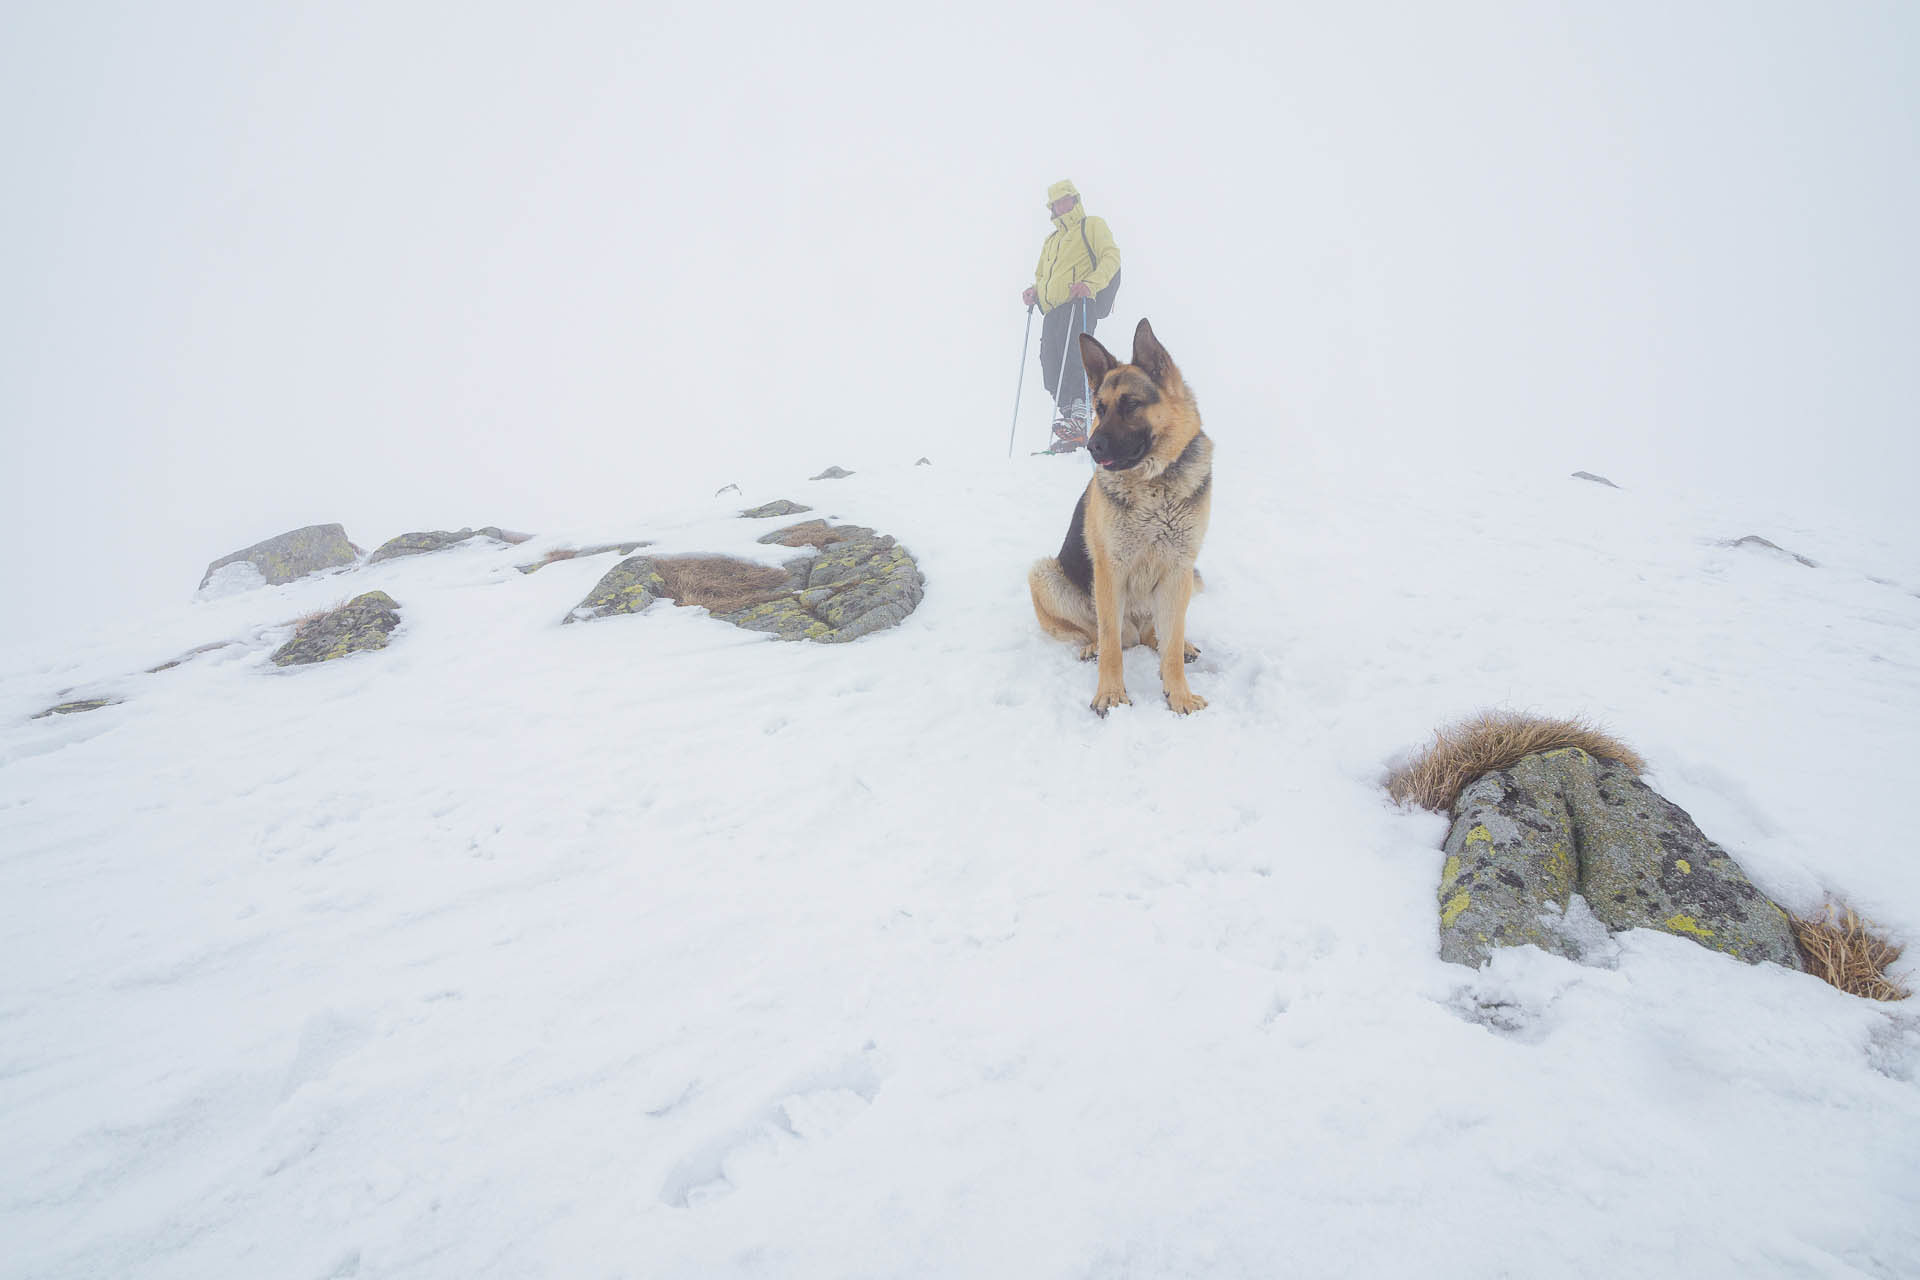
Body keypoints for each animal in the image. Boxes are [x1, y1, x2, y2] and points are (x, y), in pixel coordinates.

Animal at [1029, 318, 1205, 717]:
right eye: (1100, 407)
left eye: (1131, 405)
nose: (1091, 446)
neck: (1154, 487)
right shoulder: (1111, 570)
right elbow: (1110, 641)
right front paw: (1110, 694)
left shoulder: (1178, 568)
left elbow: (1171, 645)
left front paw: (1179, 695)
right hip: (1044, 574)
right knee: (1100, 633)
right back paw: (1092, 646)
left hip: (1182, 582)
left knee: (1159, 634)